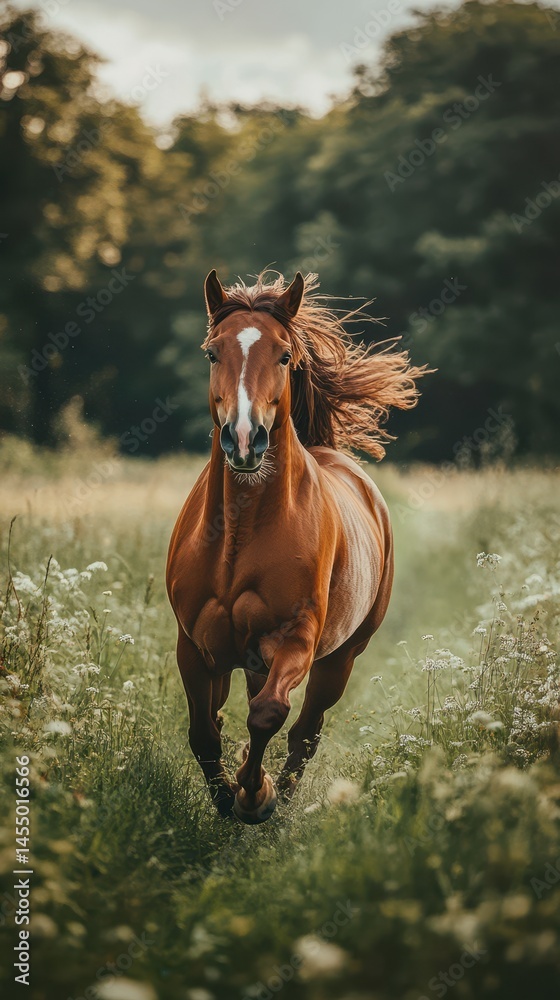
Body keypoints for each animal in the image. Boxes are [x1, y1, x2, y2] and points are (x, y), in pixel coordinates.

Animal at [166, 269, 427, 824]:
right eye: (212, 353)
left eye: (284, 355)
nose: (245, 440)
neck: (239, 534)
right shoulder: (194, 647)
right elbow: (204, 732)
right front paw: (226, 798)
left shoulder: (296, 640)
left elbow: (268, 714)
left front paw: (254, 797)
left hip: (340, 658)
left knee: (305, 732)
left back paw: (278, 796)